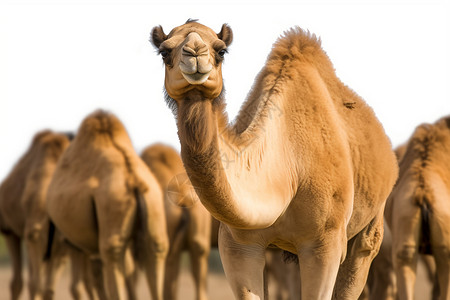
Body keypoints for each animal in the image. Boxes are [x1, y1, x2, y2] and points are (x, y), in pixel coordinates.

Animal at [46, 110, 169, 300]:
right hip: (153, 206)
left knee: (112, 254)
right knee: (155, 250)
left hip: (112, 206)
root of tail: (134, 180)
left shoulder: (63, 237)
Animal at [151, 19, 398, 298]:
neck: (289, 167)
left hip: (371, 222)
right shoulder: (239, 245)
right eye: (164, 52)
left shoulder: (325, 242)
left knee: (363, 252)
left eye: (221, 50)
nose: (194, 52)